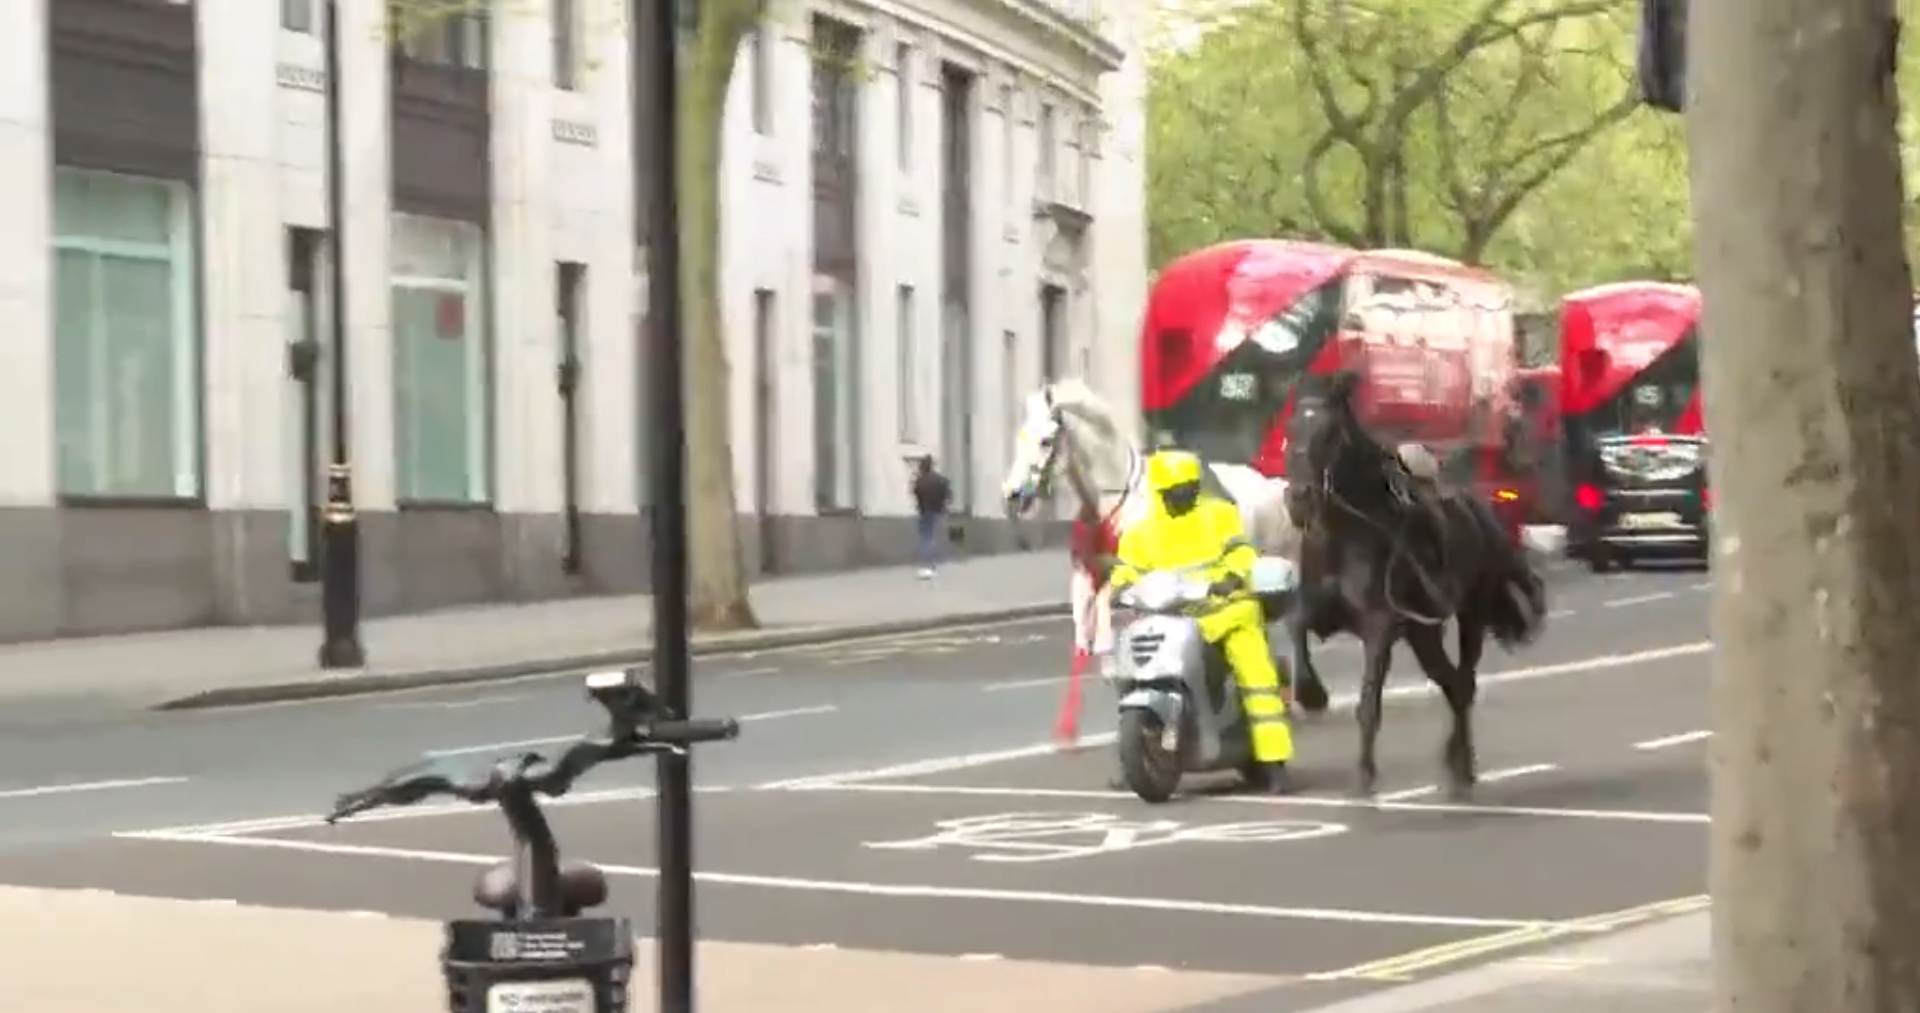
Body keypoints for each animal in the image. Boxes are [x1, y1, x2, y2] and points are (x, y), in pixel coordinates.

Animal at [998, 377, 1328, 721]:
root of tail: (1276, 488)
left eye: (1046, 441)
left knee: (1294, 631)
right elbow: (1089, 624)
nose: (1012, 493)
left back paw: (1297, 699)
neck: (1115, 507)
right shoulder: (1089, 574)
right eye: (1021, 437)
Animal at [1274, 372, 1559, 798]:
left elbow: (1368, 703)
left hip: (1470, 616)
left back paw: (1461, 767)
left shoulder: (1380, 626)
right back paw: (1457, 763)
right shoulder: (1319, 608)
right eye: (1293, 428)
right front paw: (1311, 693)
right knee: (1452, 683)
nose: (1299, 499)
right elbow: (1295, 626)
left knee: (1463, 683)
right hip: (1423, 635)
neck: (1348, 534)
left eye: (1329, 433)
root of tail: (1478, 512)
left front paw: (1364, 775)